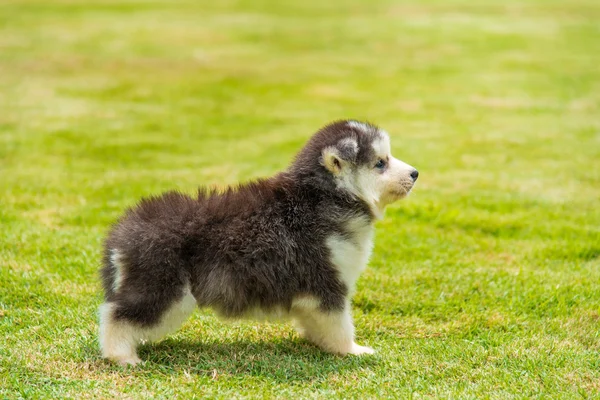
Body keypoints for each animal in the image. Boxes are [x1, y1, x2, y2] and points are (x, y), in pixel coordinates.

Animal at [98, 119, 418, 366]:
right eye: (380, 163)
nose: (415, 173)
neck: (325, 197)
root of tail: (122, 231)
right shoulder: (327, 282)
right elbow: (340, 325)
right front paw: (352, 351)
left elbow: (319, 324)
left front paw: (321, 344)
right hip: (164, 289)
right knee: (116, 315)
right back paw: (123, 357)